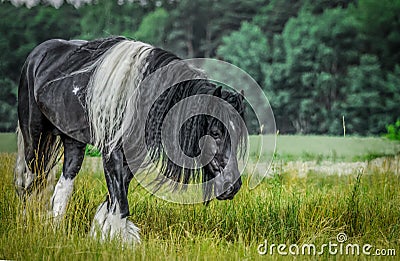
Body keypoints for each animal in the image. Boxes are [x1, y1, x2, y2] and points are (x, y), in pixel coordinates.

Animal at [14, 36, 245, 242]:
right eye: (215, 133)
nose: (232, 186)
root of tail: (36, 56)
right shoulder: (112, 154)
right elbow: (120, 205)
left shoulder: (131, 158)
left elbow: (114, 201)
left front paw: (105, 236)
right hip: (34, 139)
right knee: (29, 182)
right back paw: (27, 224)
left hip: (73, 143)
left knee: (63, 187)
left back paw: (55, 230)